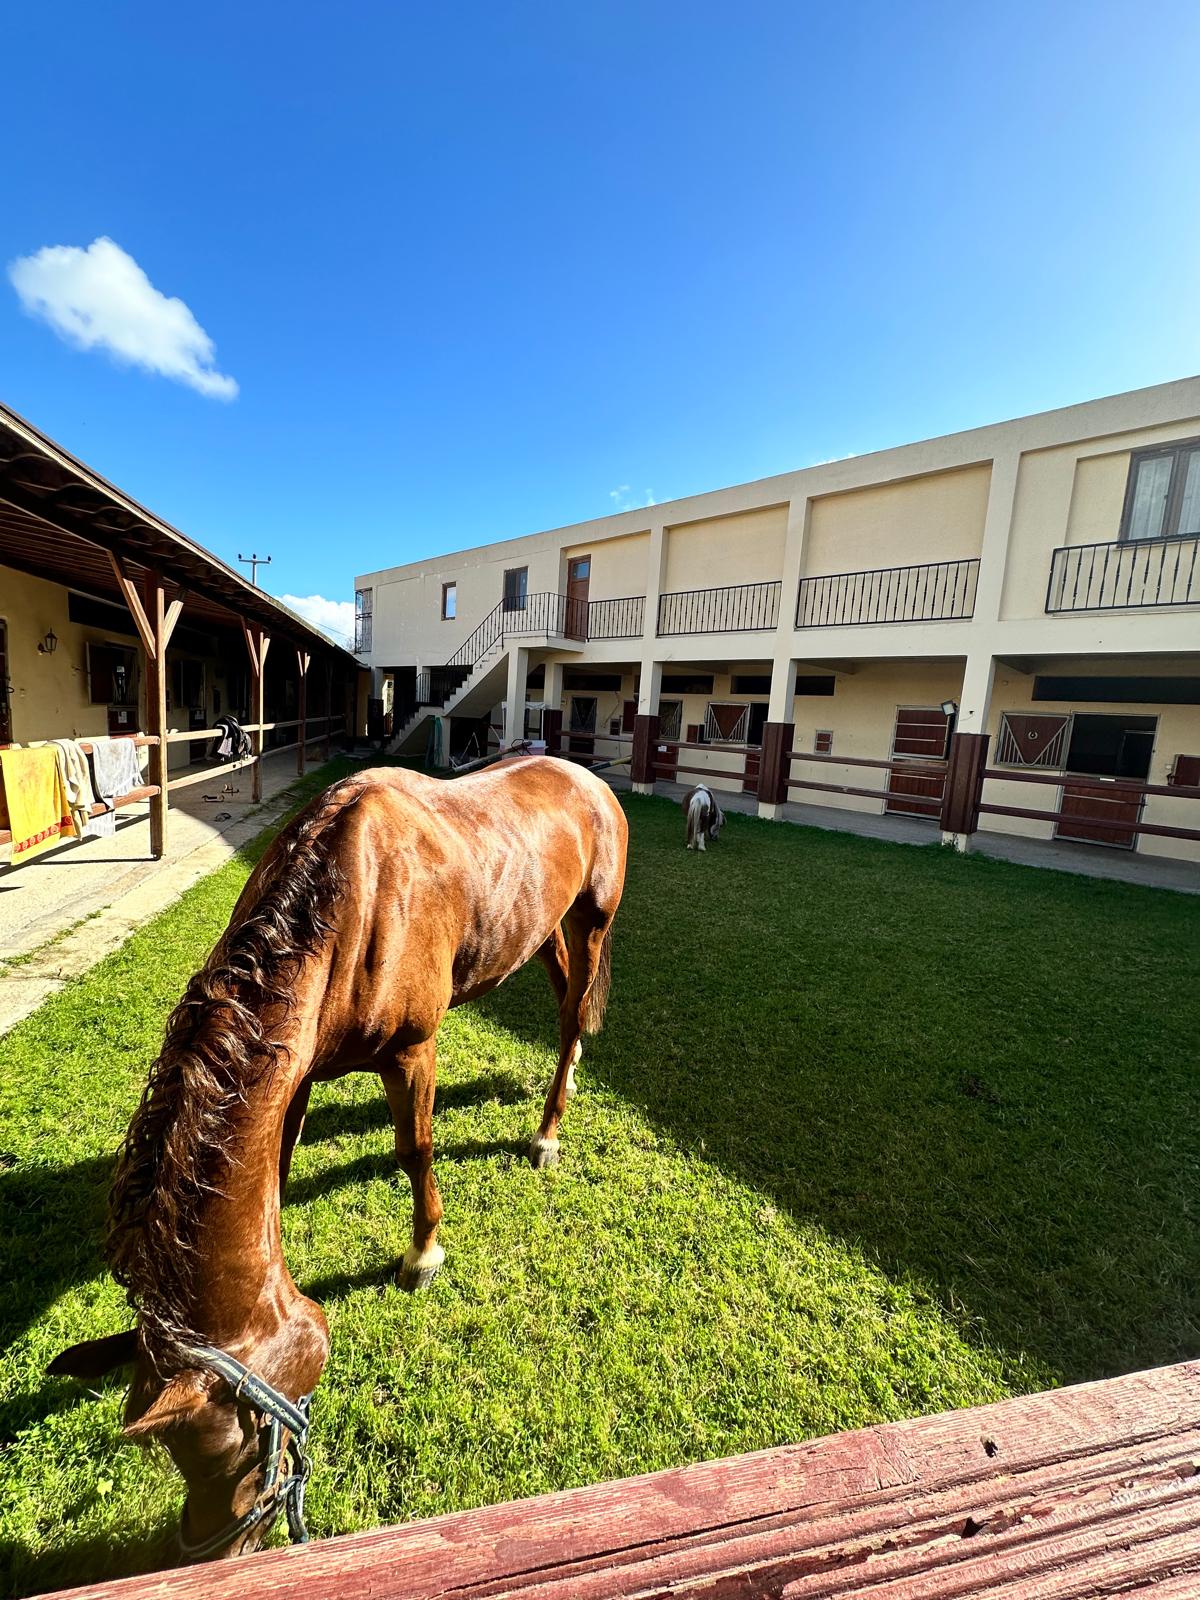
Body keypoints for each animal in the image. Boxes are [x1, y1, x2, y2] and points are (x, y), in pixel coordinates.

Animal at [49, 758, 630, 1561]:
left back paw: (546, 1132)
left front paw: (423, 1253)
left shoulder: (411, 1051)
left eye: (227, 1446)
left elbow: (415, 1150)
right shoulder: (293, 1076)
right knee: (565, 995)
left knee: (574, 1010)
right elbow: (280, 1175)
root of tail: (588, 778)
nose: (219, 1552)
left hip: (593, 917)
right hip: (543, 927)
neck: (351, 904)